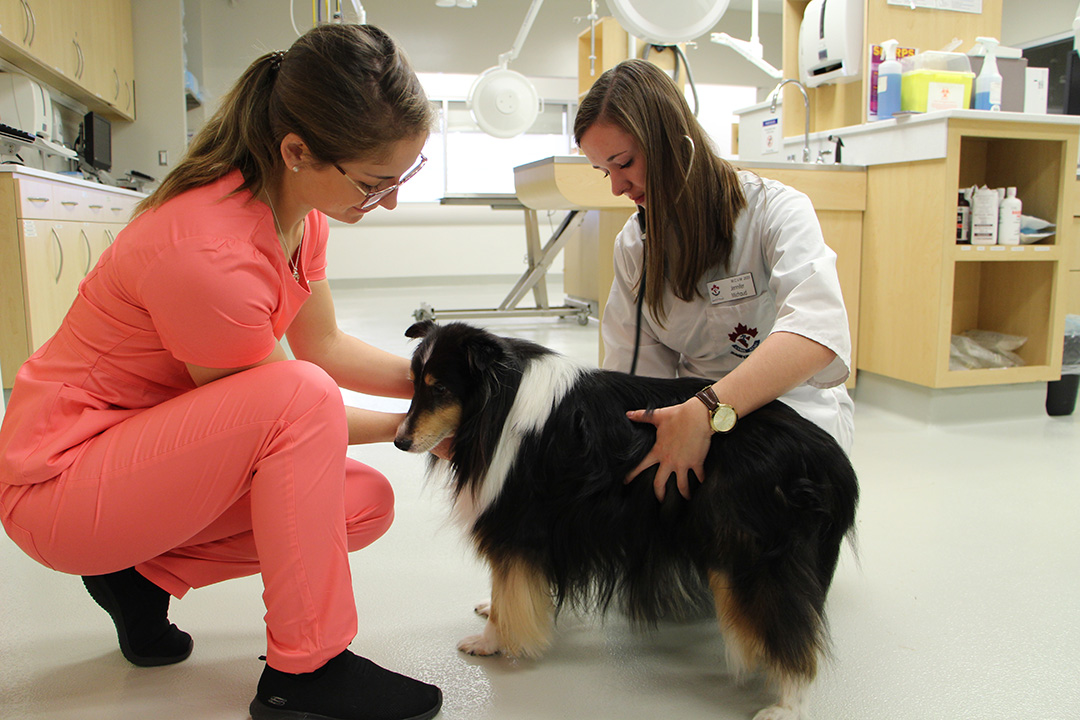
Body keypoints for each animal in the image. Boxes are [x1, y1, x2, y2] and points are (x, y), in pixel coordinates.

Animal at [393, 321, 855, 720]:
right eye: (414, 383)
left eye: (440, 388)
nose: (399, 441)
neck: (500, 403)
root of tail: (825, 453)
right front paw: (493, 609)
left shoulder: (515, 522)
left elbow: (507, 588)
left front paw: (489, 640)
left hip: (750, 557)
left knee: (792, 637)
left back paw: (786, 706)